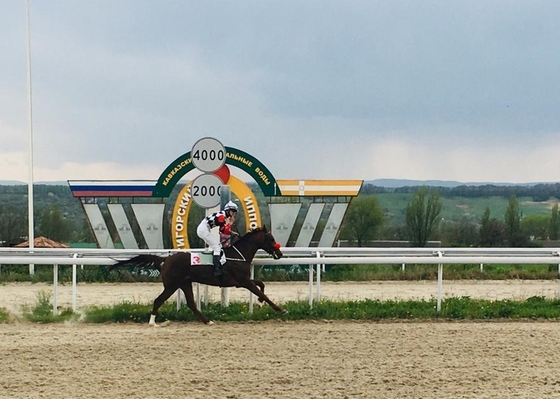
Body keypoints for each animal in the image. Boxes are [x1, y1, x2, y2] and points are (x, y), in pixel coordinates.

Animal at [107, 227, 286, 326]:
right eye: (271, 239)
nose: (279, 253)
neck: (238, 255)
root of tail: (165, 259)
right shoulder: (243, 281)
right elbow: (262, 291)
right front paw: (280, 310)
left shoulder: (242, 281)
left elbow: (261, 285)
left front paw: (260, 302)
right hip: (172, 285)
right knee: (159, 300)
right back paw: (153, 323)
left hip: (185, 283)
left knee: (192, 304)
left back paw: (207, 320)